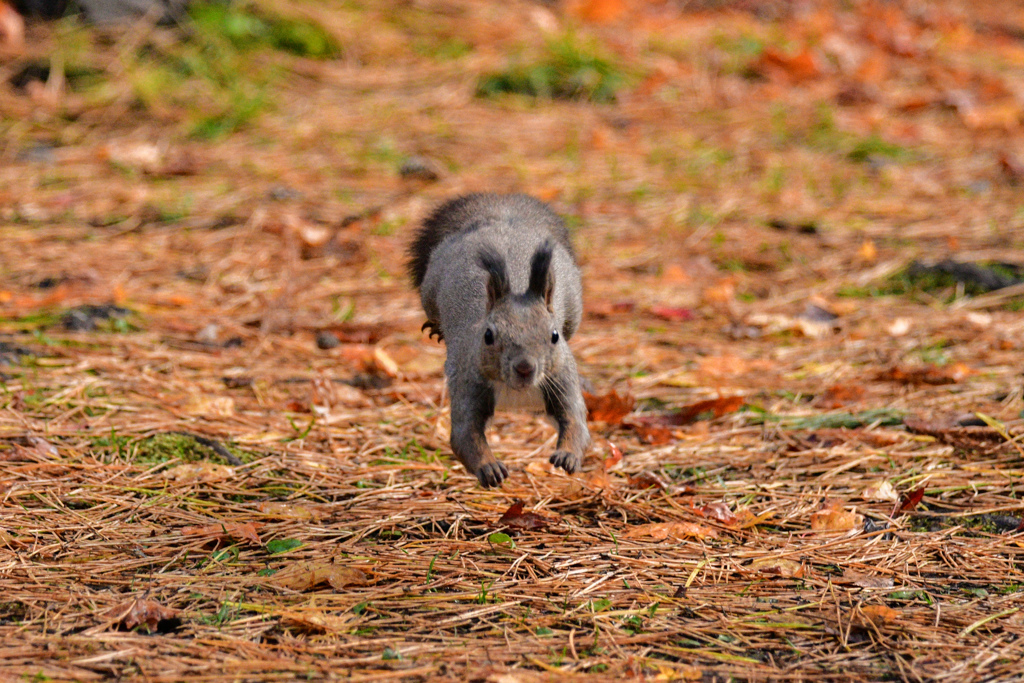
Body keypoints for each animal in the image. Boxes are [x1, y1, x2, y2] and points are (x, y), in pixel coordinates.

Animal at [403, 194, 589, 489]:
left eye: (554, 336)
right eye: (488, 336)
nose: (524, 368)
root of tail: (499, 220)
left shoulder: (561, 379)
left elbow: (576, 423)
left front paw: (568, 456)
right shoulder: (469, 382)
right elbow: (465, 435)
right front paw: (490, 468)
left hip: (574, 308)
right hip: (430, 289)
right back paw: (436, 328)